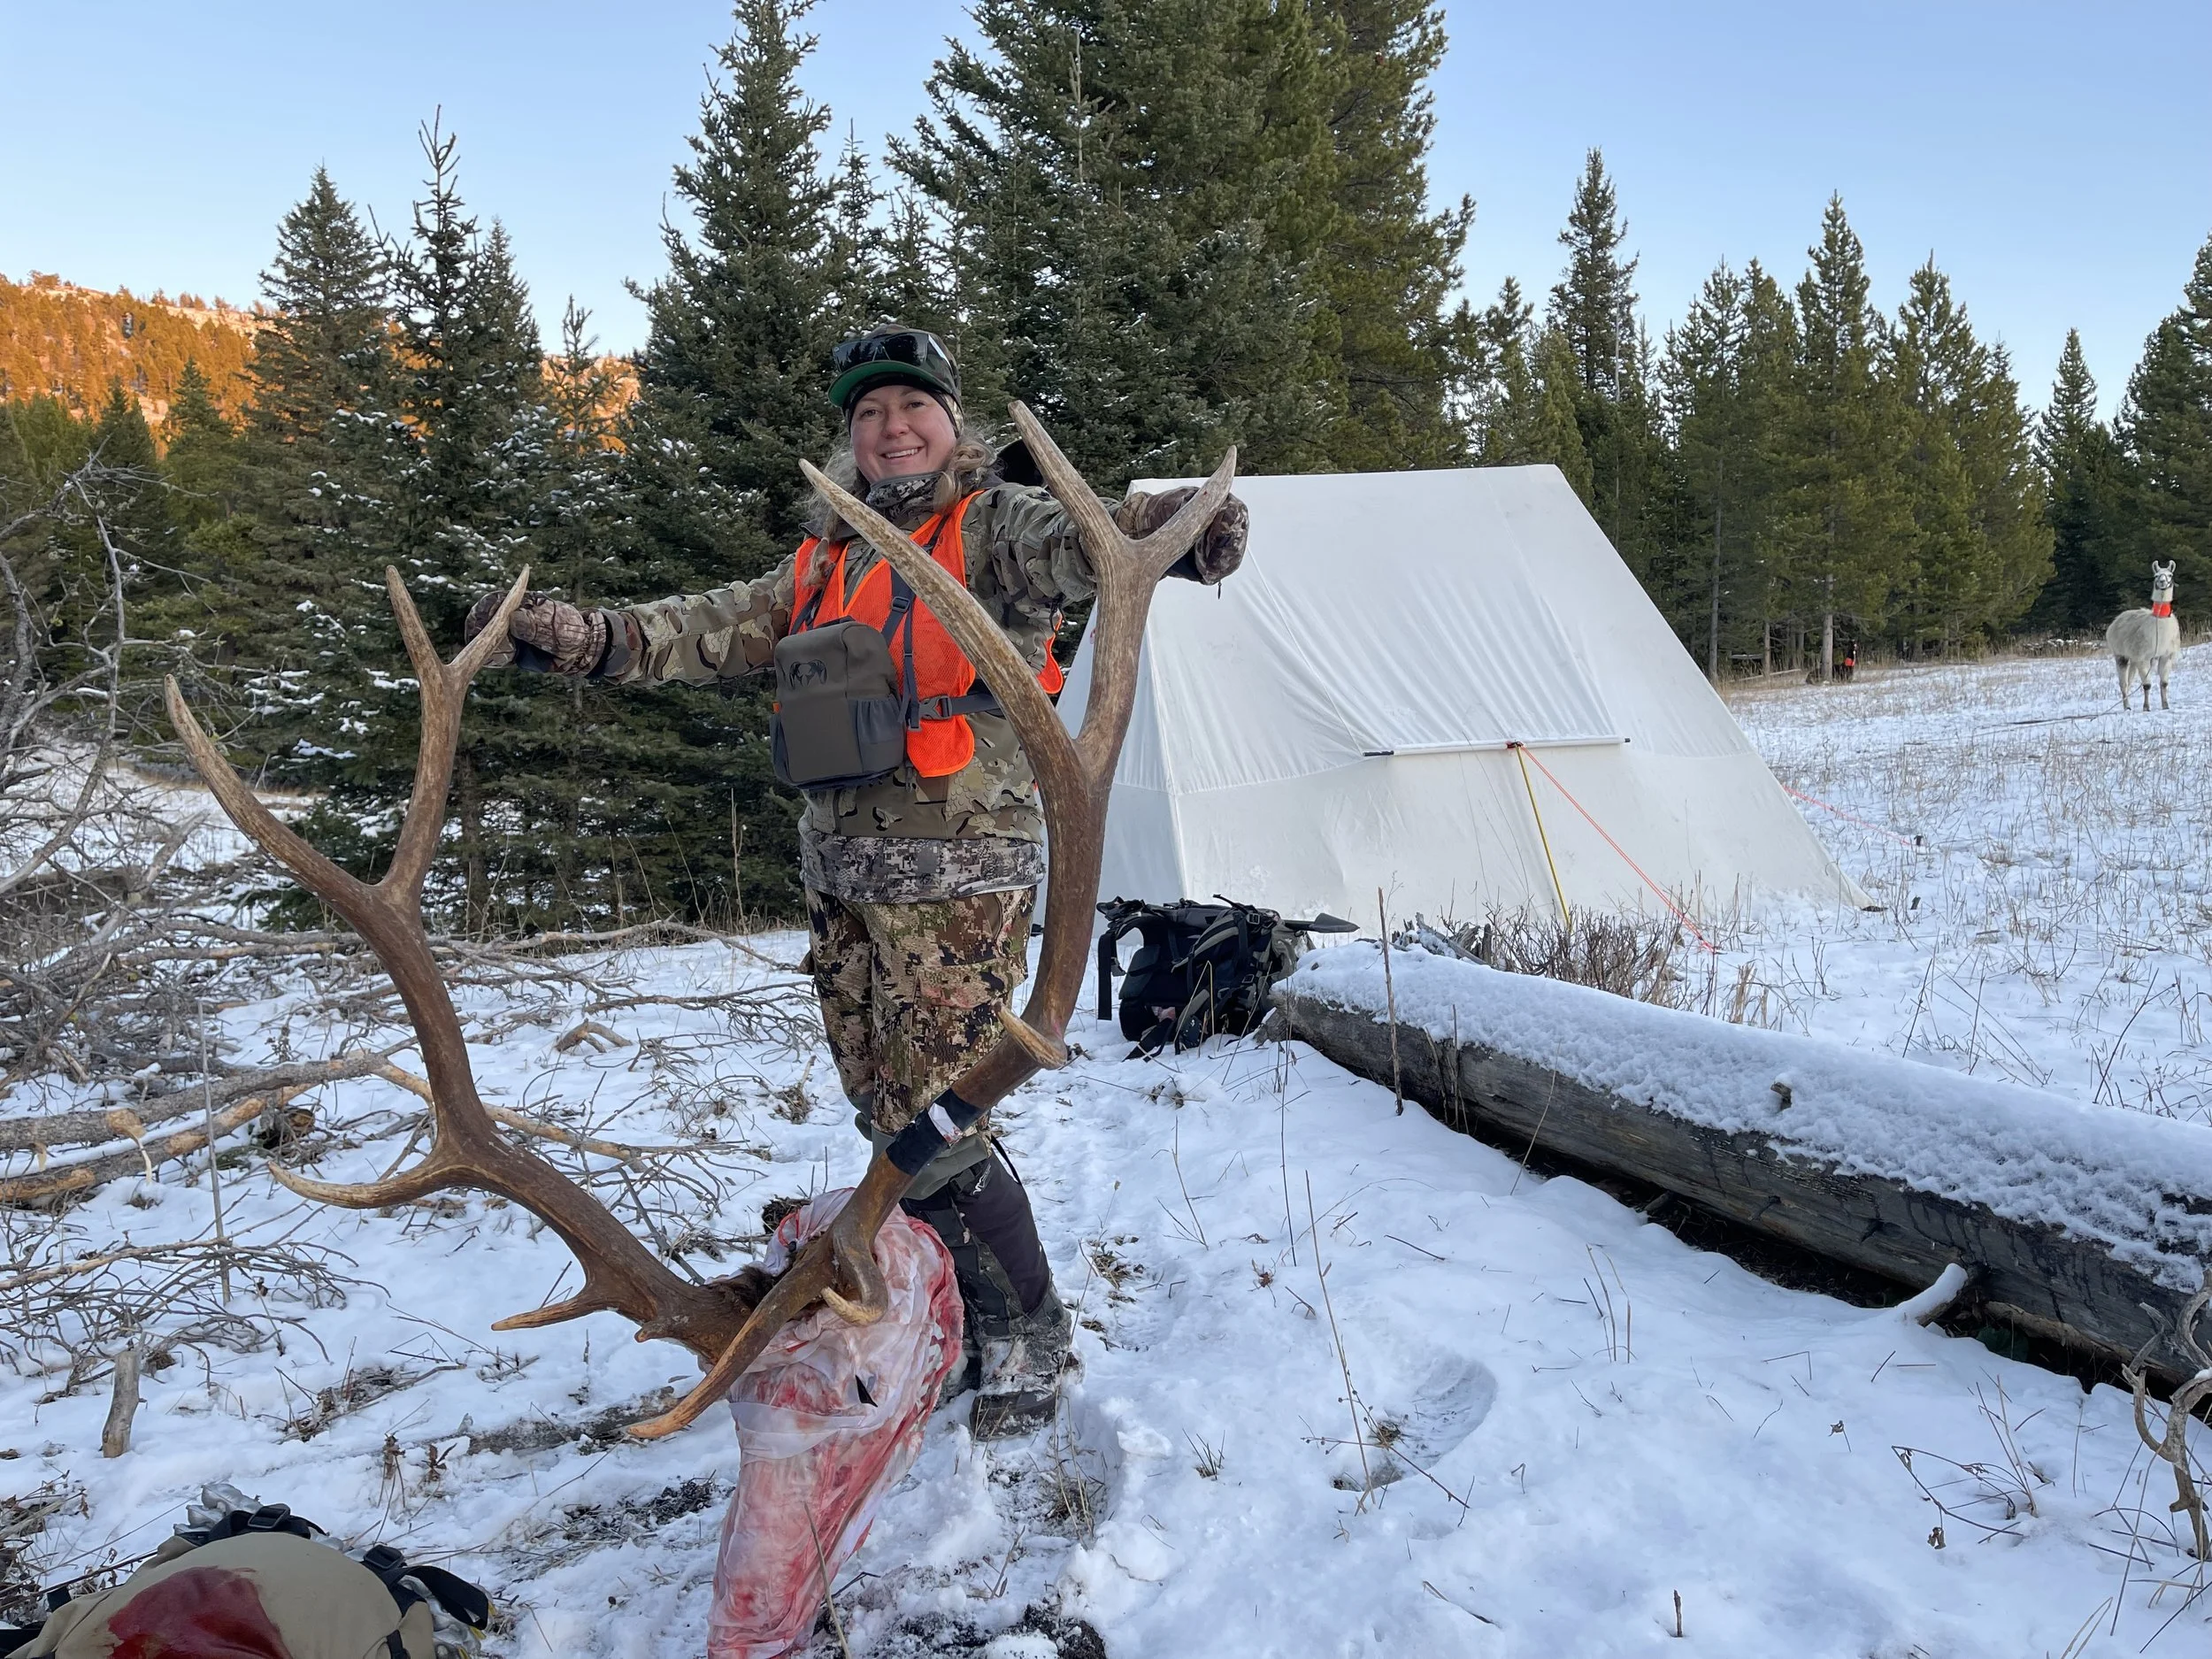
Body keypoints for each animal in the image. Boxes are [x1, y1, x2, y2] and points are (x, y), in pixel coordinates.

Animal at [2108, 560, 2180, 711]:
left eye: (2170, 574)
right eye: (2156, 575)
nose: (2162, 582)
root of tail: (2117, 619)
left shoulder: (2166, 655)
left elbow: (2164, 683)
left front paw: (2165, 705)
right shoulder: (2143, 657)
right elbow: (2147, 685)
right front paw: (2146, 707)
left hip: (2134, 658)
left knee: (2129, 681)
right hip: (2120, 654)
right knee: (2123, 683)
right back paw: (2127, 707)